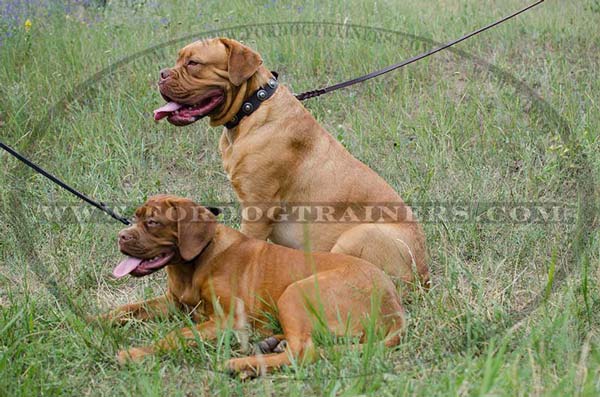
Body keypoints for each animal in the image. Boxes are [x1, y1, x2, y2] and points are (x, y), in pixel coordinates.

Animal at [104, 195, 404, 374]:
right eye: (135, 218)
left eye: (153, 222)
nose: (120, 236)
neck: (195, 263)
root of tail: (393, 306)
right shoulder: (173, 303)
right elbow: (129, 308)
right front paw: (98, 321)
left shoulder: (227, 320)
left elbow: (176, 335)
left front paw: (136, 353)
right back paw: (268, 345)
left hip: (294, 292)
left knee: (303, 352)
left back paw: (240, 363)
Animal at [152, 38, 428, 290]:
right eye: (178, 59)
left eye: (193, 63)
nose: (162, 74)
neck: (253, 107)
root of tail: (423, 273)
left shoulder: (258, 209)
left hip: (358, 236)